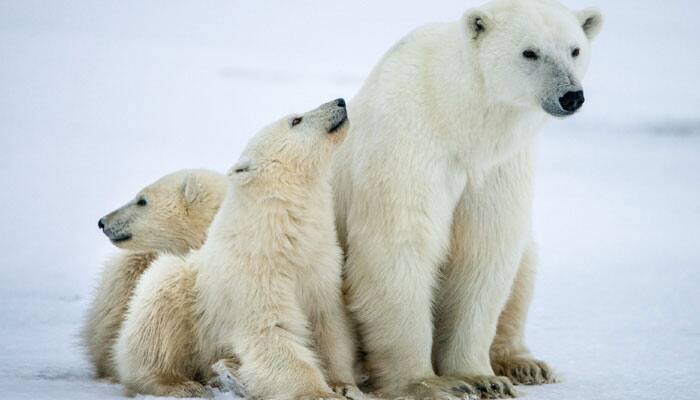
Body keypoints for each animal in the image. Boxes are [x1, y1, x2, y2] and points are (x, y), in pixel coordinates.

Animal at [334, 0, 600, 398]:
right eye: (530, 52)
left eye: (575, 49)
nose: (571, 96)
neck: (457, 119)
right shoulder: (409, 148)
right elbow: (399, 250)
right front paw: (428, 383)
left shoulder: (498, 167)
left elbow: (484, 253)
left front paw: (482, 378)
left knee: (524, 265)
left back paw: (525, 364)